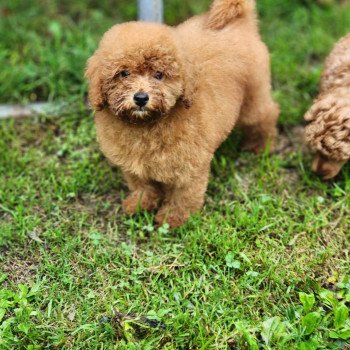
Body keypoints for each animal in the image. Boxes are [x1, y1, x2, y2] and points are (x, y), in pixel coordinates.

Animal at [85, 0, 278, 228]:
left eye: (159, 75)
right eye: (123, 73)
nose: (141, 98)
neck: (146, 124)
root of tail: (239, 19)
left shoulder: (189, 165)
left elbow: (184, 194)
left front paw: (172, 219)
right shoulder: (132, 162)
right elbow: (141, 182)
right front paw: (141, 203)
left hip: (253, 96)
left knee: (266, 115)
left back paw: (261, 145)